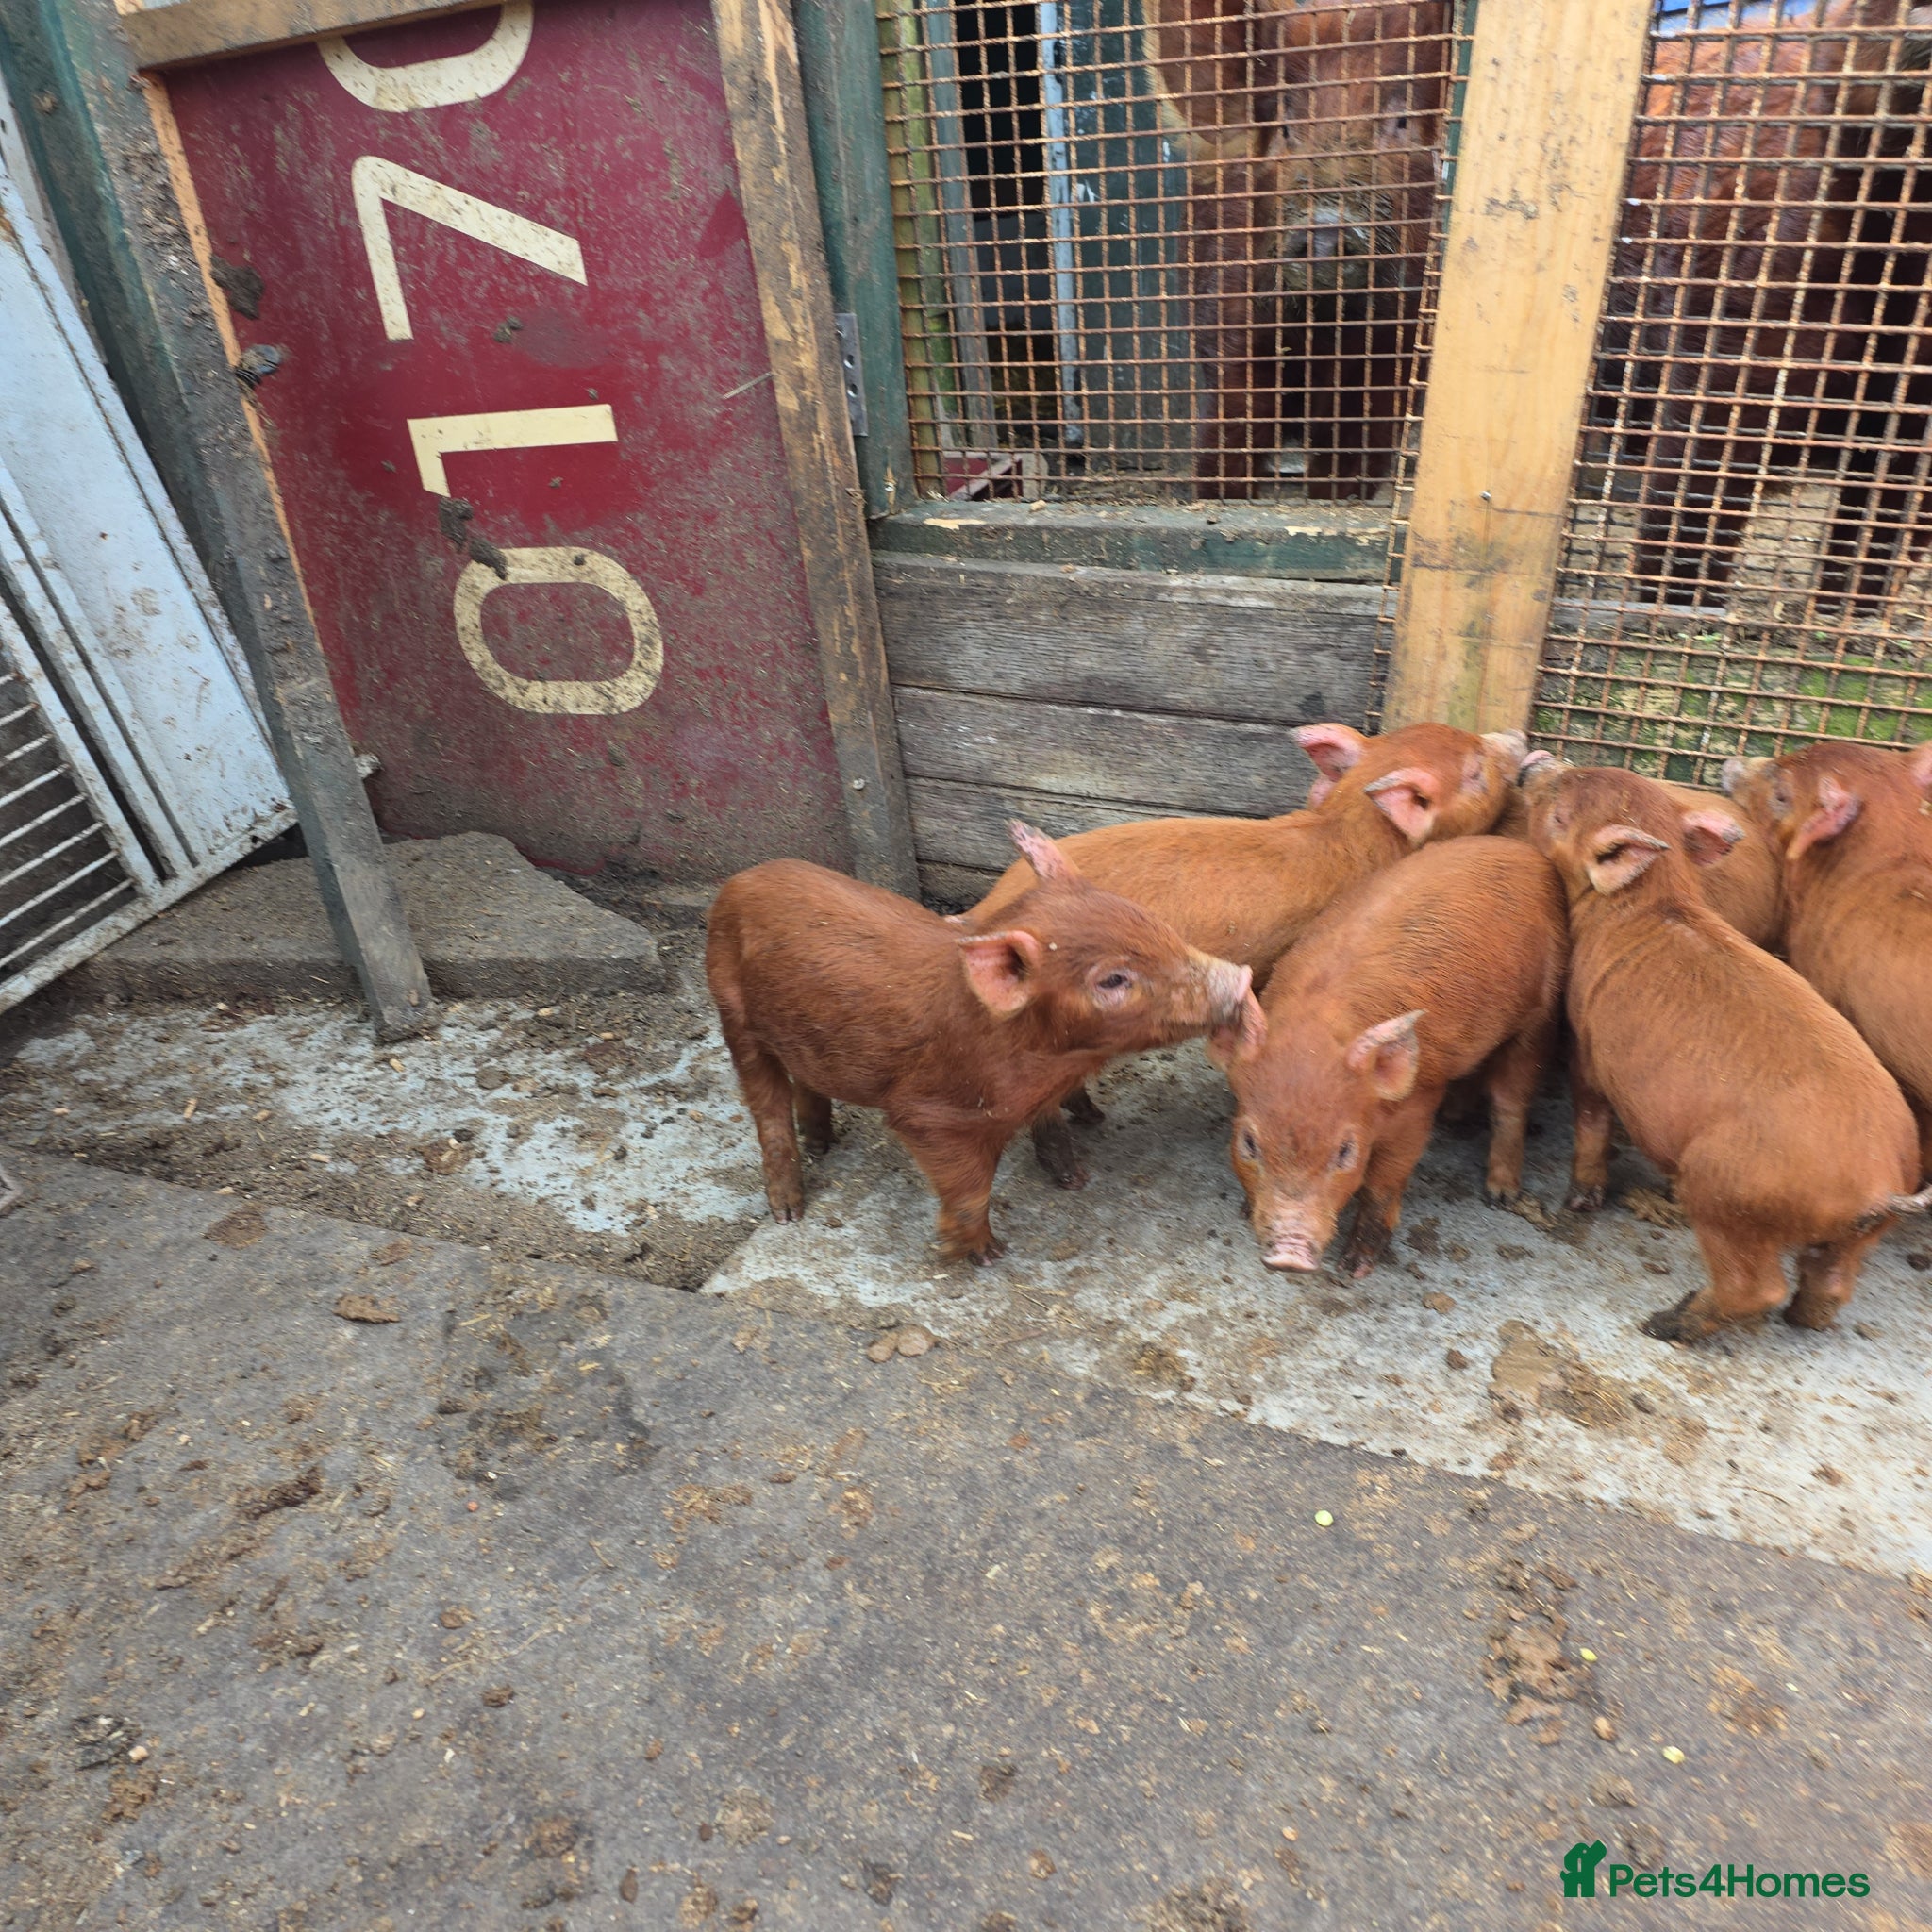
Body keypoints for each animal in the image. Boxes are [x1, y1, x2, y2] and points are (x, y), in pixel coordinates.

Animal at [705, 822, 1252, 1265]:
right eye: (1113, 979)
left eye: (1152, 923)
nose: (1240, 977)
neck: (1048, 1060)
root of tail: (740, 879)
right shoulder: (929, 1115)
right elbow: (967, 1189)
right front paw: (986, 1255)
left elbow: (1051, 1126)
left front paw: (1076, 1177)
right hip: (734, 1014)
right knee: (767, 1108)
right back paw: (788, 1213)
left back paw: (822, 1145)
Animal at [967, 720, 1528, 1183]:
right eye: (1475, 771)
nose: (1519, 737)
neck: (1351, 835)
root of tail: (990, 912)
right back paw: (1073, 1175)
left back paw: (1093, 1117)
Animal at [1215, 836, 1567, 1277]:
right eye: (1248, 1142)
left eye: (1345, 1151)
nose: (1289, 1256)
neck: (1315, 1029)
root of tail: (1525, 850)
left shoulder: (1417, 1104)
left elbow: (1385, 1180)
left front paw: (1354, 1269)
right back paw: (1455, 1118)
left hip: (1542, 1013)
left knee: (1511, 1097)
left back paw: (1500, 1195)